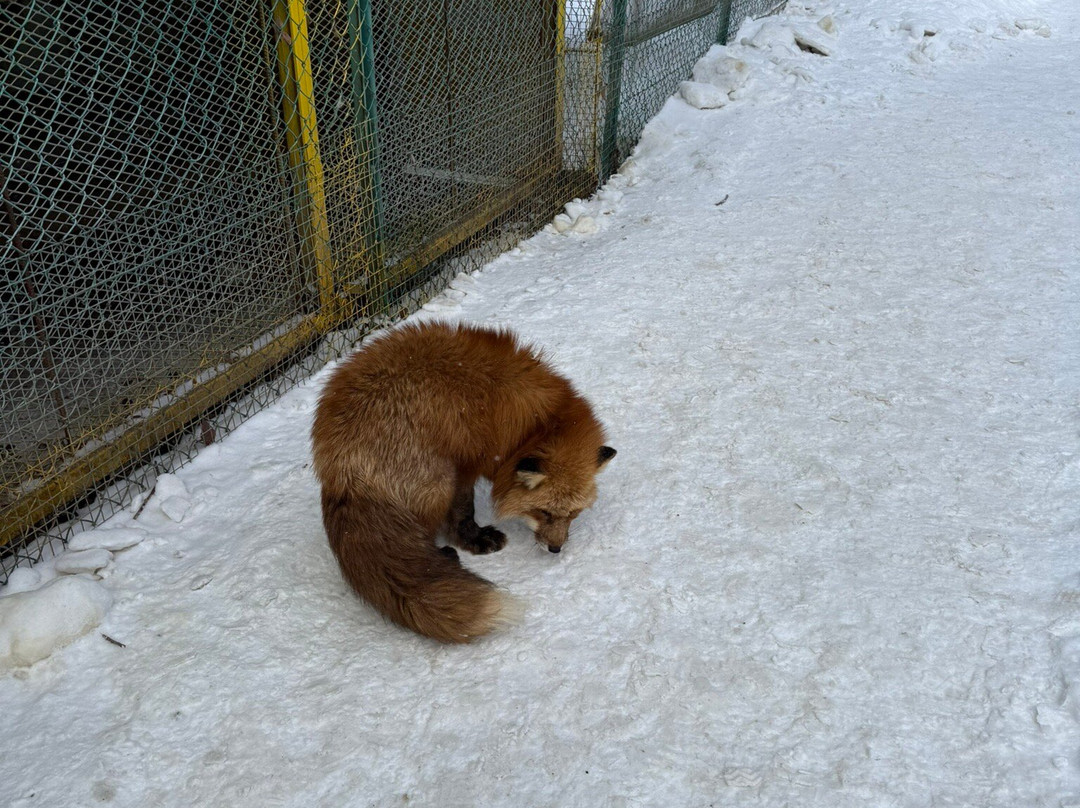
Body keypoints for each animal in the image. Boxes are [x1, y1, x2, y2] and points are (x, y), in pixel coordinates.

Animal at [311, 321, 616, 643]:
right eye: (543, 512)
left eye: (573, 514)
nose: (556, 550)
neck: (531, 426)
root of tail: (336, 465)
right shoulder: (466, 463)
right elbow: (463, 513)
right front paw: (474, 539)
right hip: (438, 481)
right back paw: (443, 555)